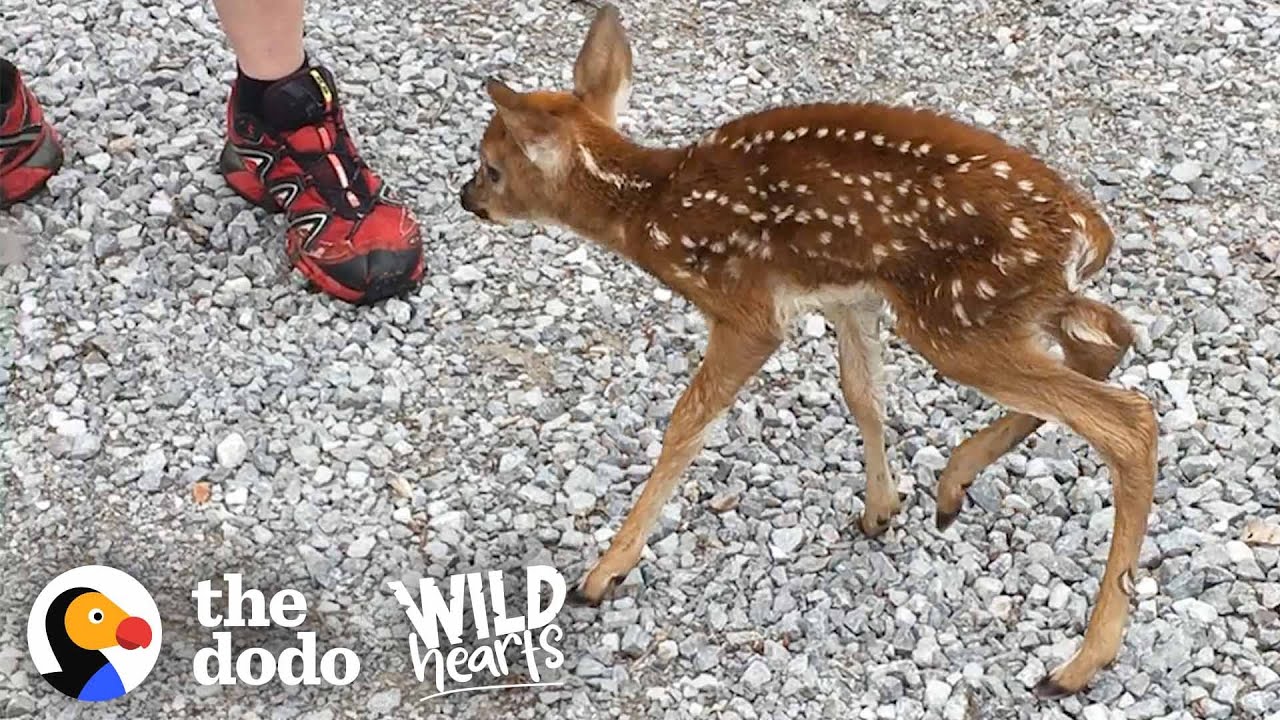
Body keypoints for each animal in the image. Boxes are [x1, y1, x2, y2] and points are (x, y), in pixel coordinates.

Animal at [458, 4, 1157, 698]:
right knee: (1108, 339)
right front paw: (880, 511)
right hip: (1007, 308)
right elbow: (863, 394)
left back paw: (1080, 662)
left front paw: (604, 574)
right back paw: (954, 485)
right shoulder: (850, 297)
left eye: (492, 165)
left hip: (958, 318)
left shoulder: (746, 308)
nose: (468, 198)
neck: (652, 210)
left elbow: (687, 423)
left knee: (1129, 419)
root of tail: (1089, 232)